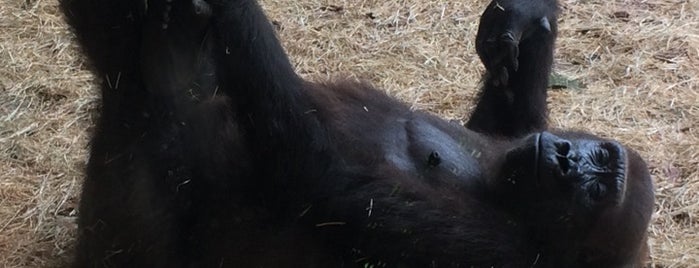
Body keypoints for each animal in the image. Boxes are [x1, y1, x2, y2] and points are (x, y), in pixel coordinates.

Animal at [60, 0, 656, 266]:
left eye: (596, 188)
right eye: (600, 157)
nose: (567, 158)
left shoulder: (492, 248)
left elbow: (319, 176)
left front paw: (234, 7)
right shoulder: (508, 142)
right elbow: (506, 121)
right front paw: (530, 23)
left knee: (145, 111)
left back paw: (163, 63)